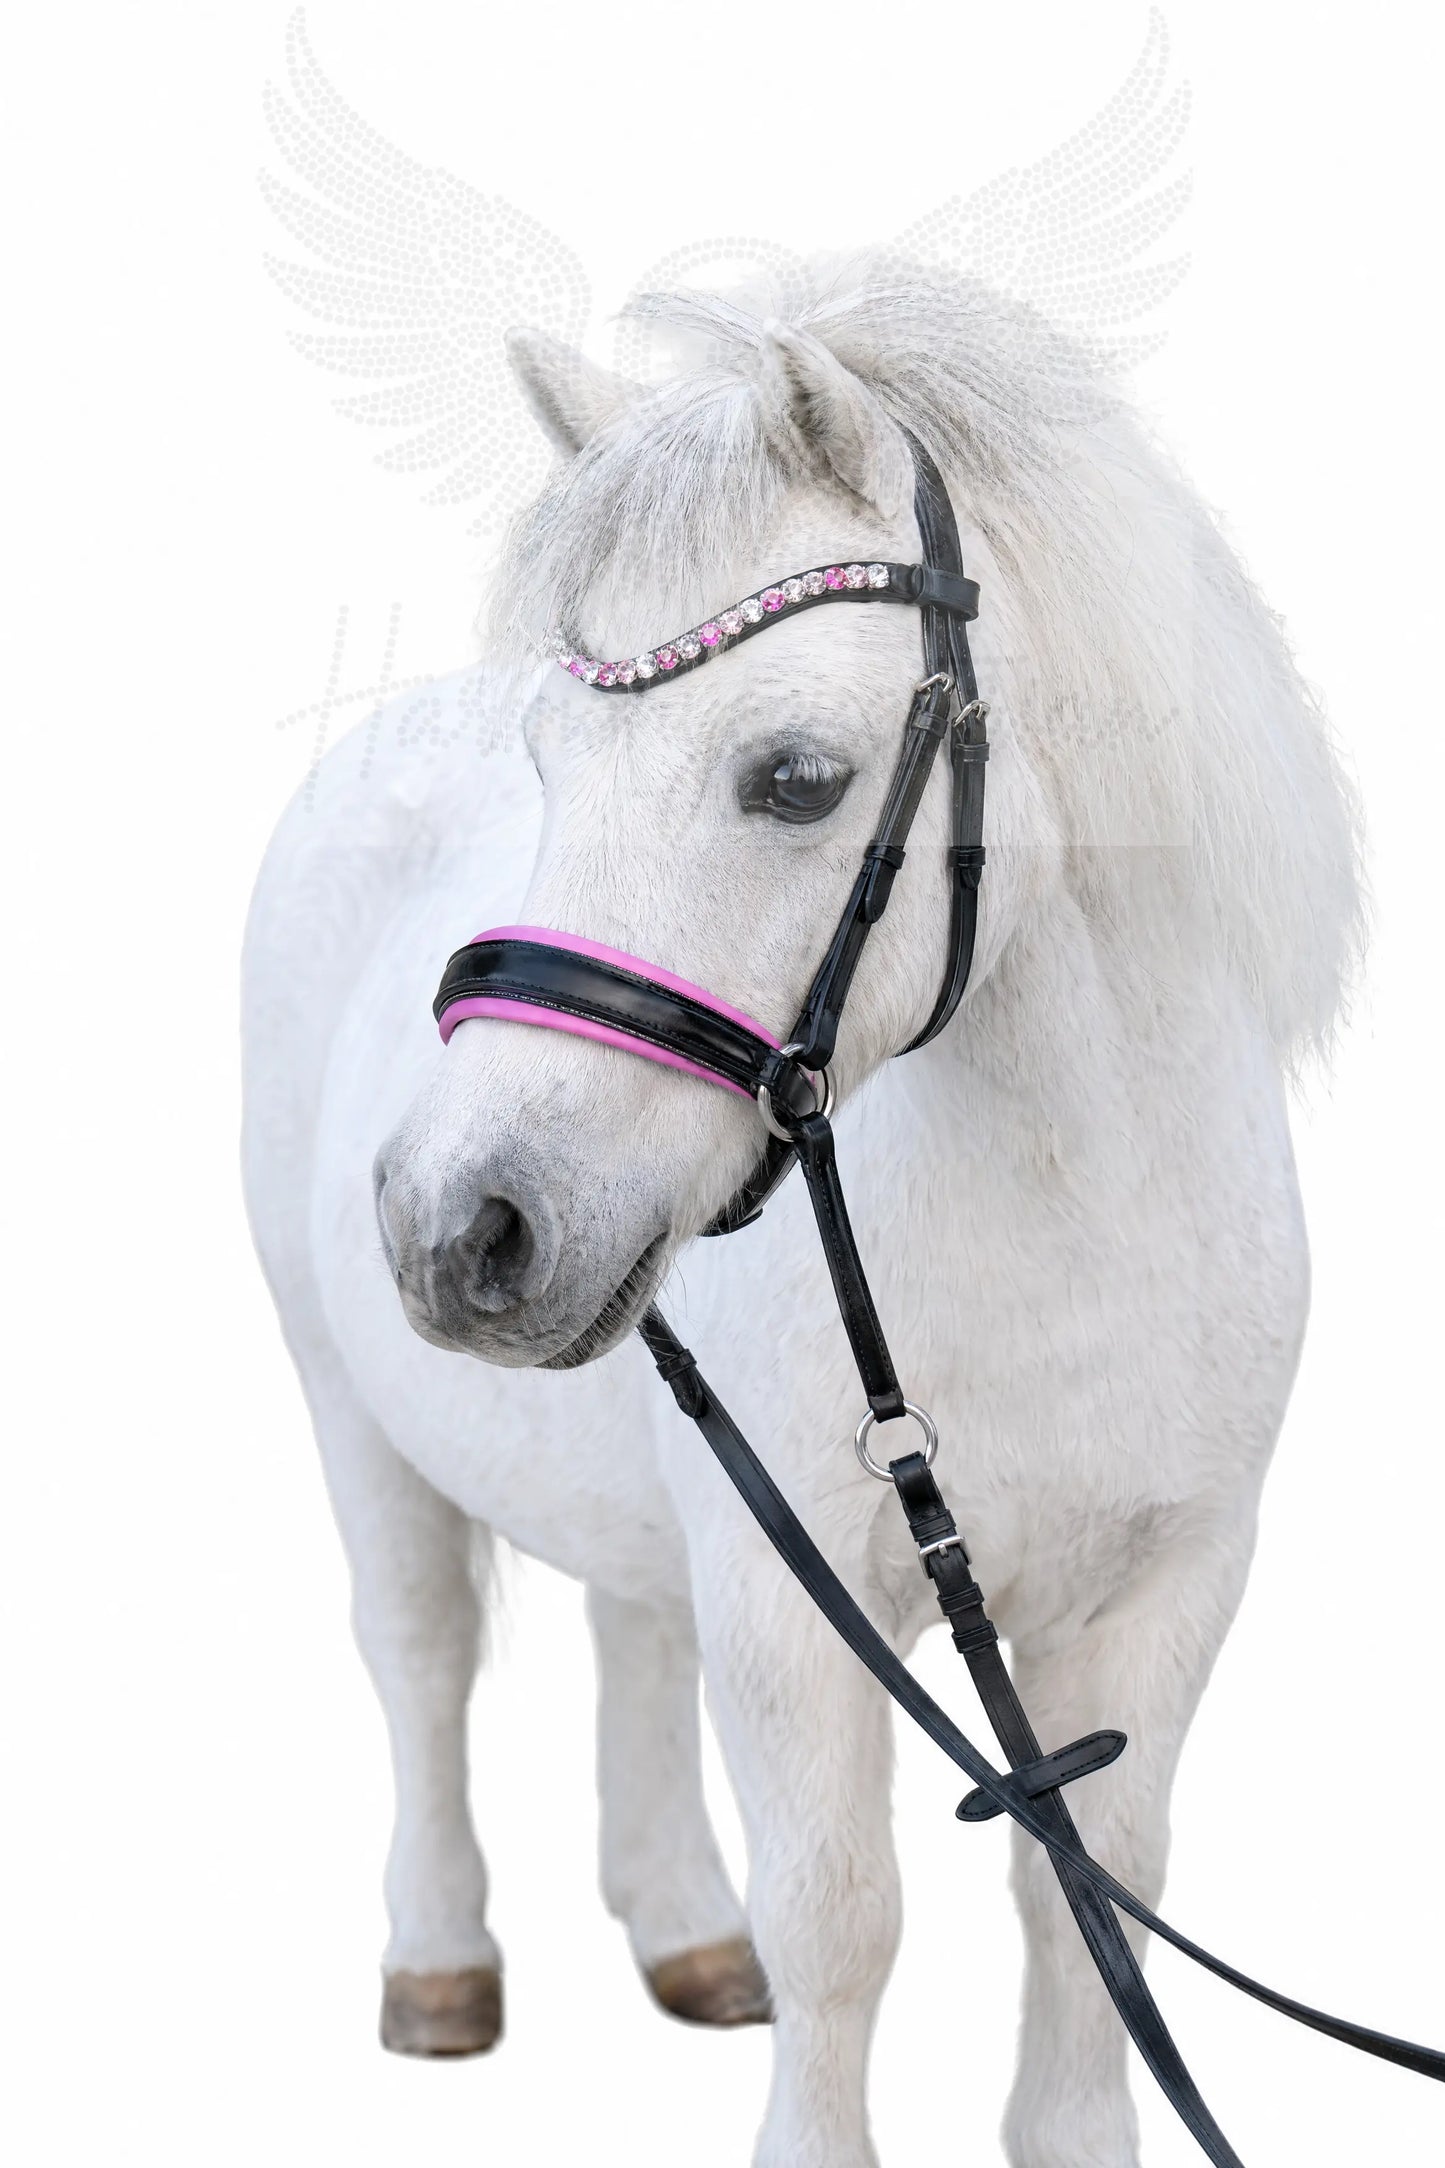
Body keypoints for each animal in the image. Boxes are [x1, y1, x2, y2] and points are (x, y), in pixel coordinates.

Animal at [241, 262, 1361, 2168]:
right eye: (548, 758)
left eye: (795, 778)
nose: (464, 1222)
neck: (1064, 1220)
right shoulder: (793, 1604)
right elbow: (839, 1919)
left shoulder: (1171, 1585)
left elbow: (1096, 1898)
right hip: (345, 1401)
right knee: (422, 1660)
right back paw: (441, 1966)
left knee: (626, 1624)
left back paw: (684, 1937)